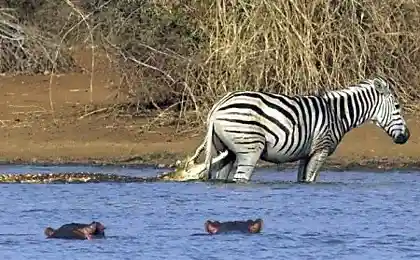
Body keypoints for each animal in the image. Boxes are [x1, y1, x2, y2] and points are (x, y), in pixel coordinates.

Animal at [186, 76, 410, 184]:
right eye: (398, 107)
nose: (406, 137)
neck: (337, 114)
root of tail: (218, 107)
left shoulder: (306, 152)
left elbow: (302, 180)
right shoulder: (321, 149)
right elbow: (311, 179)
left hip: (226, 150)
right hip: (250, 147)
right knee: (241, 178)